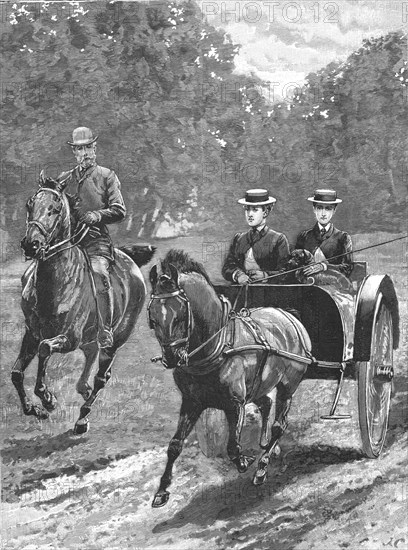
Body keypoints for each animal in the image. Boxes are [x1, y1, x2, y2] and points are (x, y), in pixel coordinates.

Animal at [13, 175, 155, 434]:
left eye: (56, 208)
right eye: (30, 204)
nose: (31, 244)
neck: (54, 285)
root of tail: (129, 259)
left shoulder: (68, 338)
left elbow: (45, 350)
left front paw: (47, 399)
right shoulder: (32, 333)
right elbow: (17, 373)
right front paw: (34, 410)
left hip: (115, 339)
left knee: (102, 375)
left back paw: (82, 418)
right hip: (90, 337)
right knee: (90, 354)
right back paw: (83, 389)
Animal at [150, 250, 312, 508]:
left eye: (180, 316)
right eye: (152, 316)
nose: (172, 358)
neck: (218, 344)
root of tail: (289, 315)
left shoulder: (235, 404)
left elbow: (233, 447)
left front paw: (246, 462)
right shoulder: (191, 402)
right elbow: (175, 445)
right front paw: (162, 490)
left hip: (289, 384)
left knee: (280, 425)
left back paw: (262, 466)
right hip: (260, 384)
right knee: (267, 404)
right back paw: (266, 446)